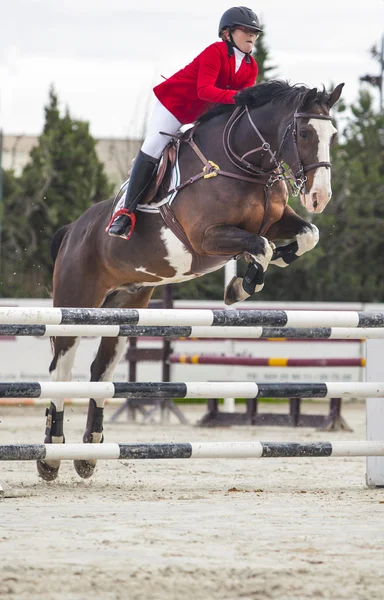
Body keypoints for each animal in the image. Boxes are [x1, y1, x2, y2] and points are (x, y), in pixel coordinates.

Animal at [38, 79, 344, 482]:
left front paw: (263, 268)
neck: (245, 165)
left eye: (333, 135)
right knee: (61, 368)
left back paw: (88, 453)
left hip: (124, 310)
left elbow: (308, 235)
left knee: (100, 369)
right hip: (75, 306)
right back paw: (51, 456)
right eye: (305, 132)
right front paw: (242, 285)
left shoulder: (275, 221)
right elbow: (260, 245)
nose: (319, 197)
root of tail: (73, 230)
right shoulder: (207, 237)